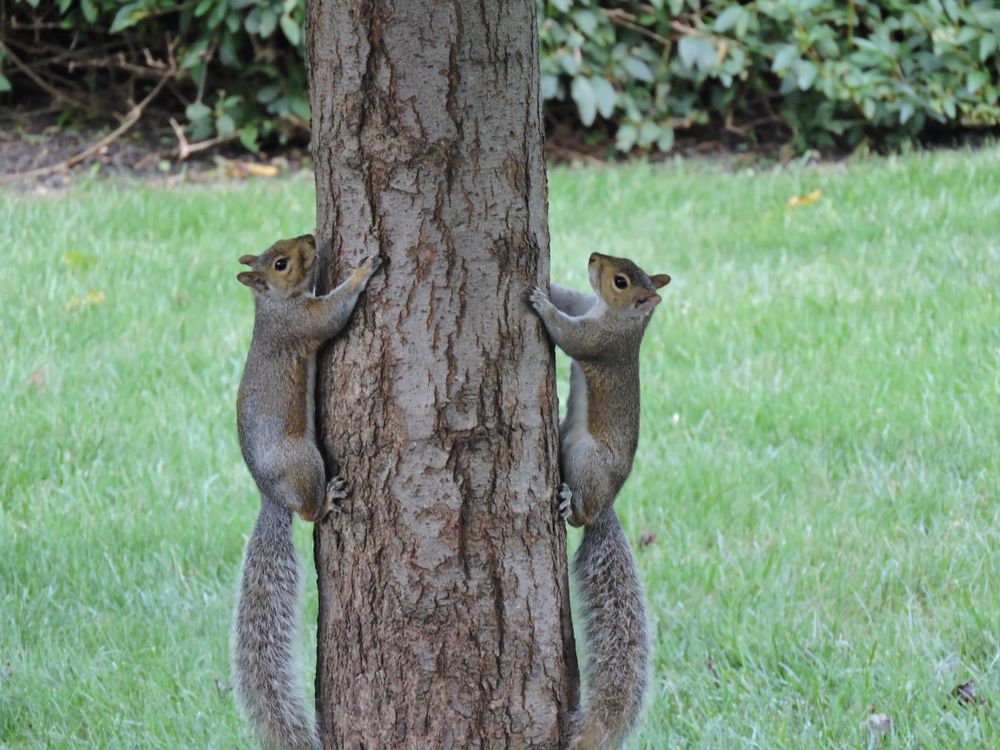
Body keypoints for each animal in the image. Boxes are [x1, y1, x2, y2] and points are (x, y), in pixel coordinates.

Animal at [232, 234, 381, 750]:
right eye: (280, 262)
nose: (312, 238)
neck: (272, 306)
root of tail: (271, 495)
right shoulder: (302, 324)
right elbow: (332, 314)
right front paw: (361, 272)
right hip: (305, 460)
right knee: (310, 513)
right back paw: (329, 500)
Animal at [529, 252, 670, 750]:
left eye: (621, 281)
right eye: (620, 264)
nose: (592, 256)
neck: (616, 317)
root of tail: (608, 500)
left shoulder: (599, 342)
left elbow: (569, 335)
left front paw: (540, 304)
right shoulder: (584, 305)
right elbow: (570, 298)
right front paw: (548, 283)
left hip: (585, 458)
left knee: (583, 513)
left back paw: (570, 505)